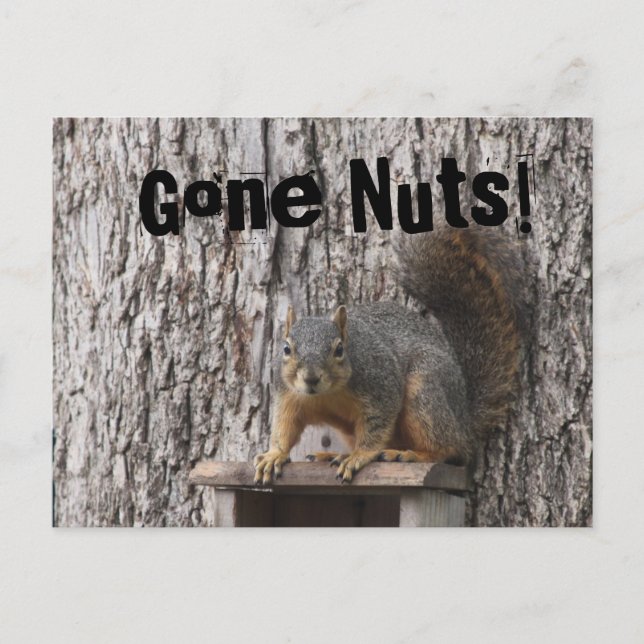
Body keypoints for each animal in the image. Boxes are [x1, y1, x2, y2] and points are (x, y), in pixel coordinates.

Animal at [254, 226, 526, 484]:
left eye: (339, 349)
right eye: (286, 348)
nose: (310, 378)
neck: (327, 394)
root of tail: (465, 421)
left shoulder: (381, 384)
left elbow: (377, 425)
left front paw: (360, 456)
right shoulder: (288, 395)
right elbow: (284, 426)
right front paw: (273, 455)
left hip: (424, 390)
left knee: (451, 449)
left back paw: (407, 455)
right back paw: (334, 454)